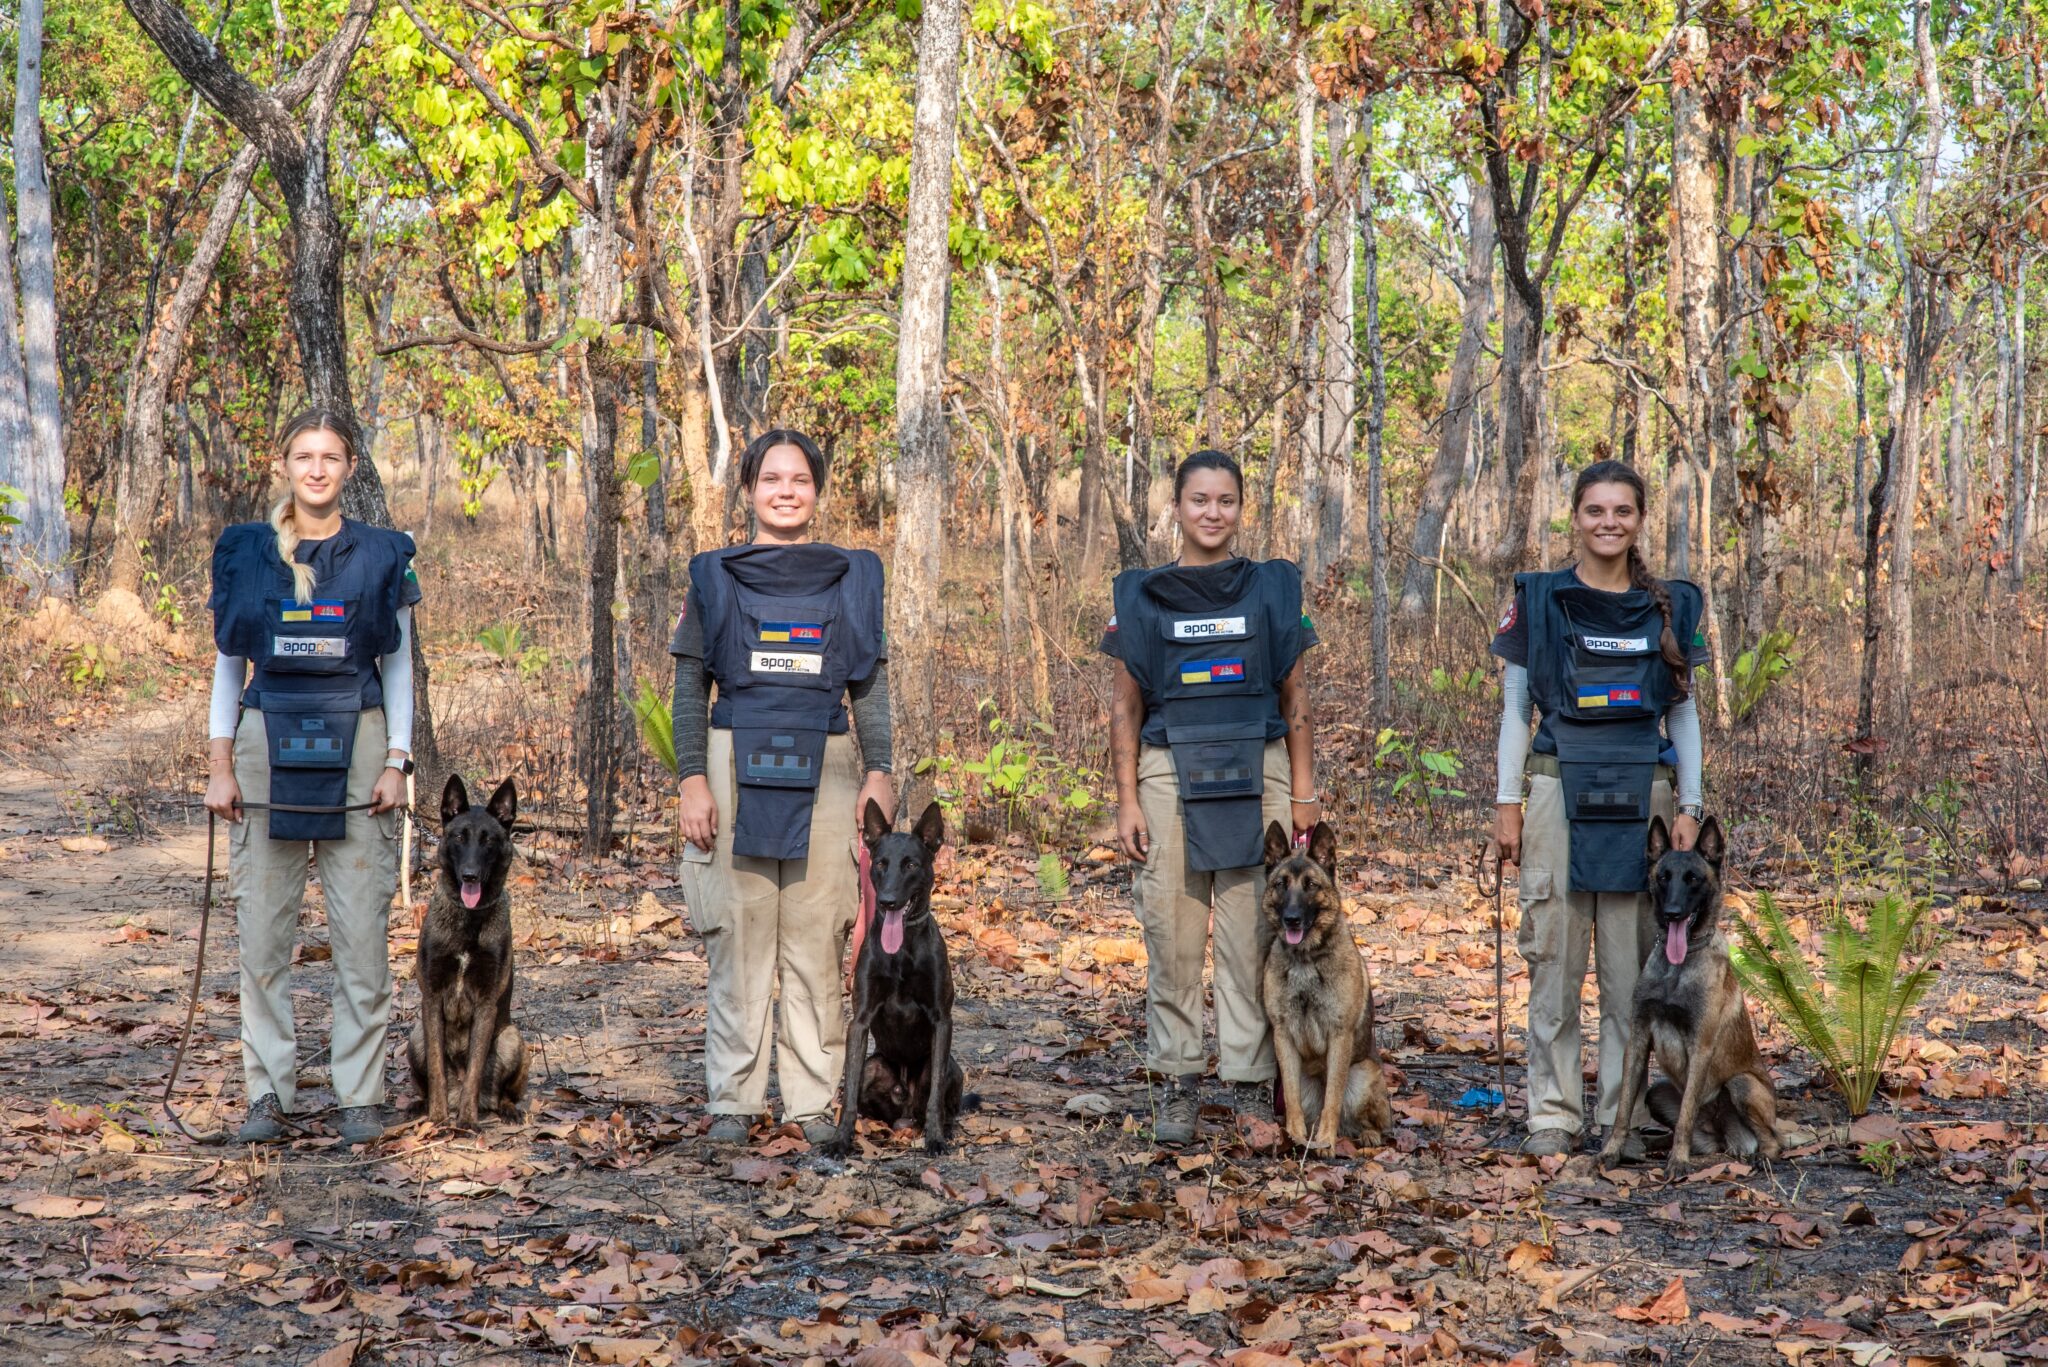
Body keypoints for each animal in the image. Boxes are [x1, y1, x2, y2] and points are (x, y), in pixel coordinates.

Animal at [407, 774, 528, 1131]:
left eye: (489, 841)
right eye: (460, 837)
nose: (470, 875)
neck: (469, 919)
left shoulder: (487, 1004)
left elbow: (475, 1068)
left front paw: (467, 1121)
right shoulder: (432, 998)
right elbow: (436, 1067)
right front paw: (438, 1118)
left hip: (512, 1037)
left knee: (502, 1092)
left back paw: (505, 1109)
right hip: (414, 1036)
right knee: (429, 1081)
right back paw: (422, 1106)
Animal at [815, 803, 966, 1155]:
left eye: (911, 864)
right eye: (881, 864)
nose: (886, 901)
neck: (902, 952)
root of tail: (905, 1113)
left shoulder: (942, 1020)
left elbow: (935, 1097)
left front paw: (935, 1138)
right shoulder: (860, 1020)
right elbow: (849, 1092)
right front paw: (841, 1139)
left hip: (950, 1067)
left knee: (939, 1097)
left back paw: (943, 1128)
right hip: (875, 1066)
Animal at [1597, 819, 1777, 1180]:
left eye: (1693, 878)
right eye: (1664, 877)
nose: (1673, 913)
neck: (1676, 969)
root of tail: (1726, 1136)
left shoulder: (1700, 1047)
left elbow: (1685, 1117)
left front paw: (1678, 1161)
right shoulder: (1638, 1039)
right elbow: (1623, 1108)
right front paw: (1613, 1149)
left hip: (1742, 1084)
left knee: (1772, 1140)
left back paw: (1761, 1157)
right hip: (1658, 1092)